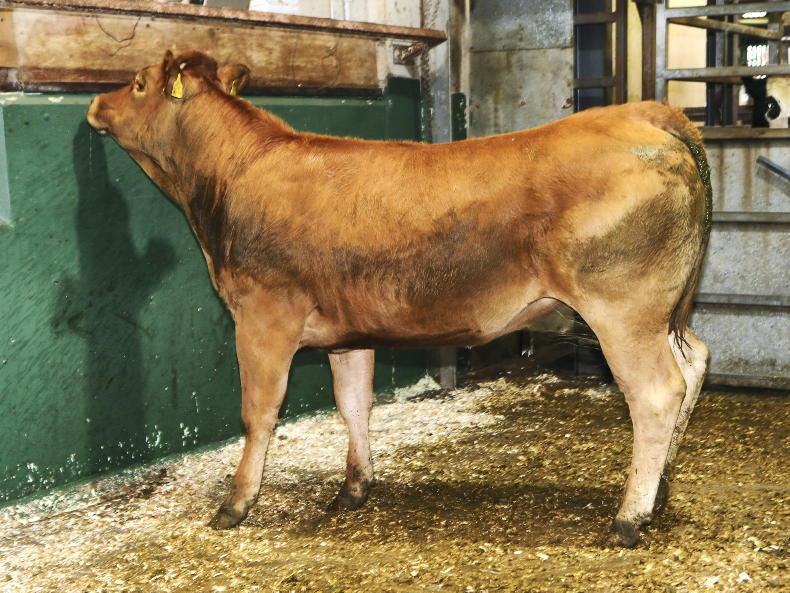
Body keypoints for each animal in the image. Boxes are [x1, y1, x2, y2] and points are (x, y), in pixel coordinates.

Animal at [87, 50, 711, 547]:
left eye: (137, 83)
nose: (94, 103)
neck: (232, 176)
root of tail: (642, 112)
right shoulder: (347, 332)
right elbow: (353, 403)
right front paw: (354, 487)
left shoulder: (262, 315)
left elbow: (258, 411)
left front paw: (236, 503)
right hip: (659, 313)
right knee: (694, 364)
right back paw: (659, 490)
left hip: (620, 309)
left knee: (655, 393)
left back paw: (629, 518)